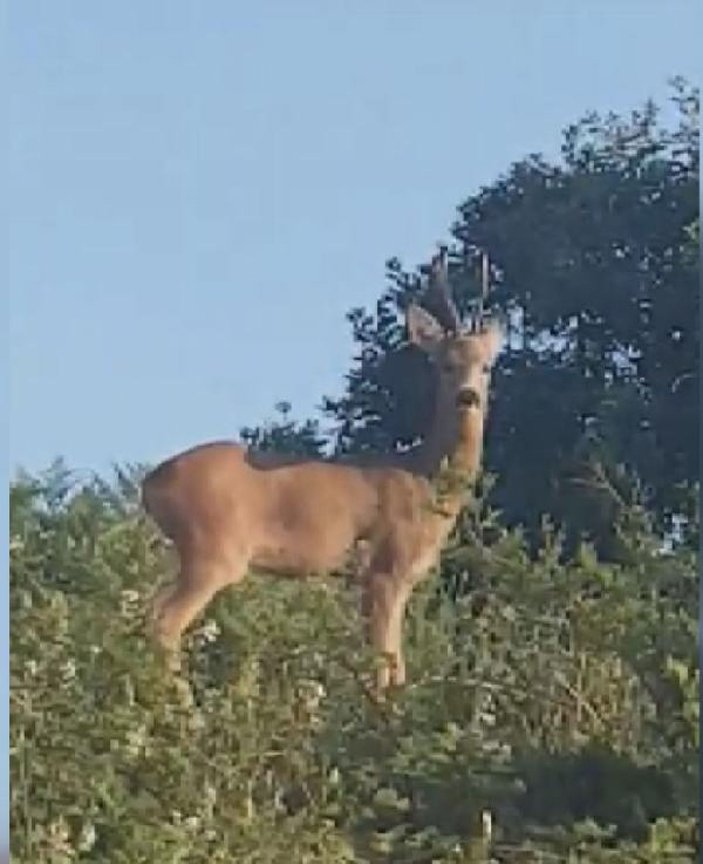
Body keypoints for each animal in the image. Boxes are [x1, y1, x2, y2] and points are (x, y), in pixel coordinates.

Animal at [143, 250, 504, 688]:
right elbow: (384, 667)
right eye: (445, 364)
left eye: (486, 366)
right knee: (164, 621)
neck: (426, 481)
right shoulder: (384, 568)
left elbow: (395, 666)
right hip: (212, 547)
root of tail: (150, 484)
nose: (468, 397)